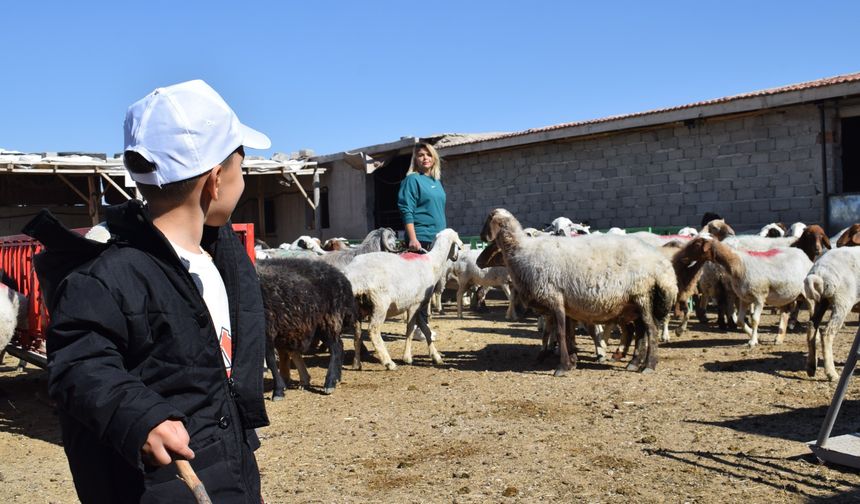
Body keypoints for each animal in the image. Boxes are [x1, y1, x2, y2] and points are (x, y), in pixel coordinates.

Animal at [258, 260, 360, 398]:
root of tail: (341, 277)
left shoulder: (267, 329)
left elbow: (270, 360)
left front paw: (278, 391)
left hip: (328, 320)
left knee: (337, 347)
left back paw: (329, 383)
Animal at [342, 228, 464, 370]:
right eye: (458, 247)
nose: (455, 257)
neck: (433, 263)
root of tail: (353, 276)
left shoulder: (419, 305)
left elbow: (426, 330)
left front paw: (436, 357)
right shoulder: (414, 305)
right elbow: (409, 330)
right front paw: (407, 358)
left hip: (357, 308)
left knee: (357, 333)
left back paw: (356, 363)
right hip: (380, 304)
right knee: (373, 331)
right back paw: (389, 362)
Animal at [480, 207, 676, 376]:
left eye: (488, 219)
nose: (481, 236)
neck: (522, 251)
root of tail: (662, 265)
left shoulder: (555, 298)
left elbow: (560, 333)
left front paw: (562, 367)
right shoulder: (565, 305)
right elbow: (567, 334)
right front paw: (572, 362)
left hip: (641, 295)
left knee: (651, 330)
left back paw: (649, 365)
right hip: (634, 303)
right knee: (641, 330)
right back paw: (634, 363)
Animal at [680, 235, 812, 346]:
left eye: (697, 244)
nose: (682, 257)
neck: (739, 265)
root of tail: (803, 254)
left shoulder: (759, 297)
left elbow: (755, 319)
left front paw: (752, 341)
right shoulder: (744, 298)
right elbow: (739, 320)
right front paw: (754, 336)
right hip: (784, 295)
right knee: (785, 313)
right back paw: (779, 338)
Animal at [804, 246, 860, 380]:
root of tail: (819, 271)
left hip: (821, 300)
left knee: (812, 325)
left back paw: (811, 367)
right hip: (842, 300)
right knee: (827, 333)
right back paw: (831, 373)